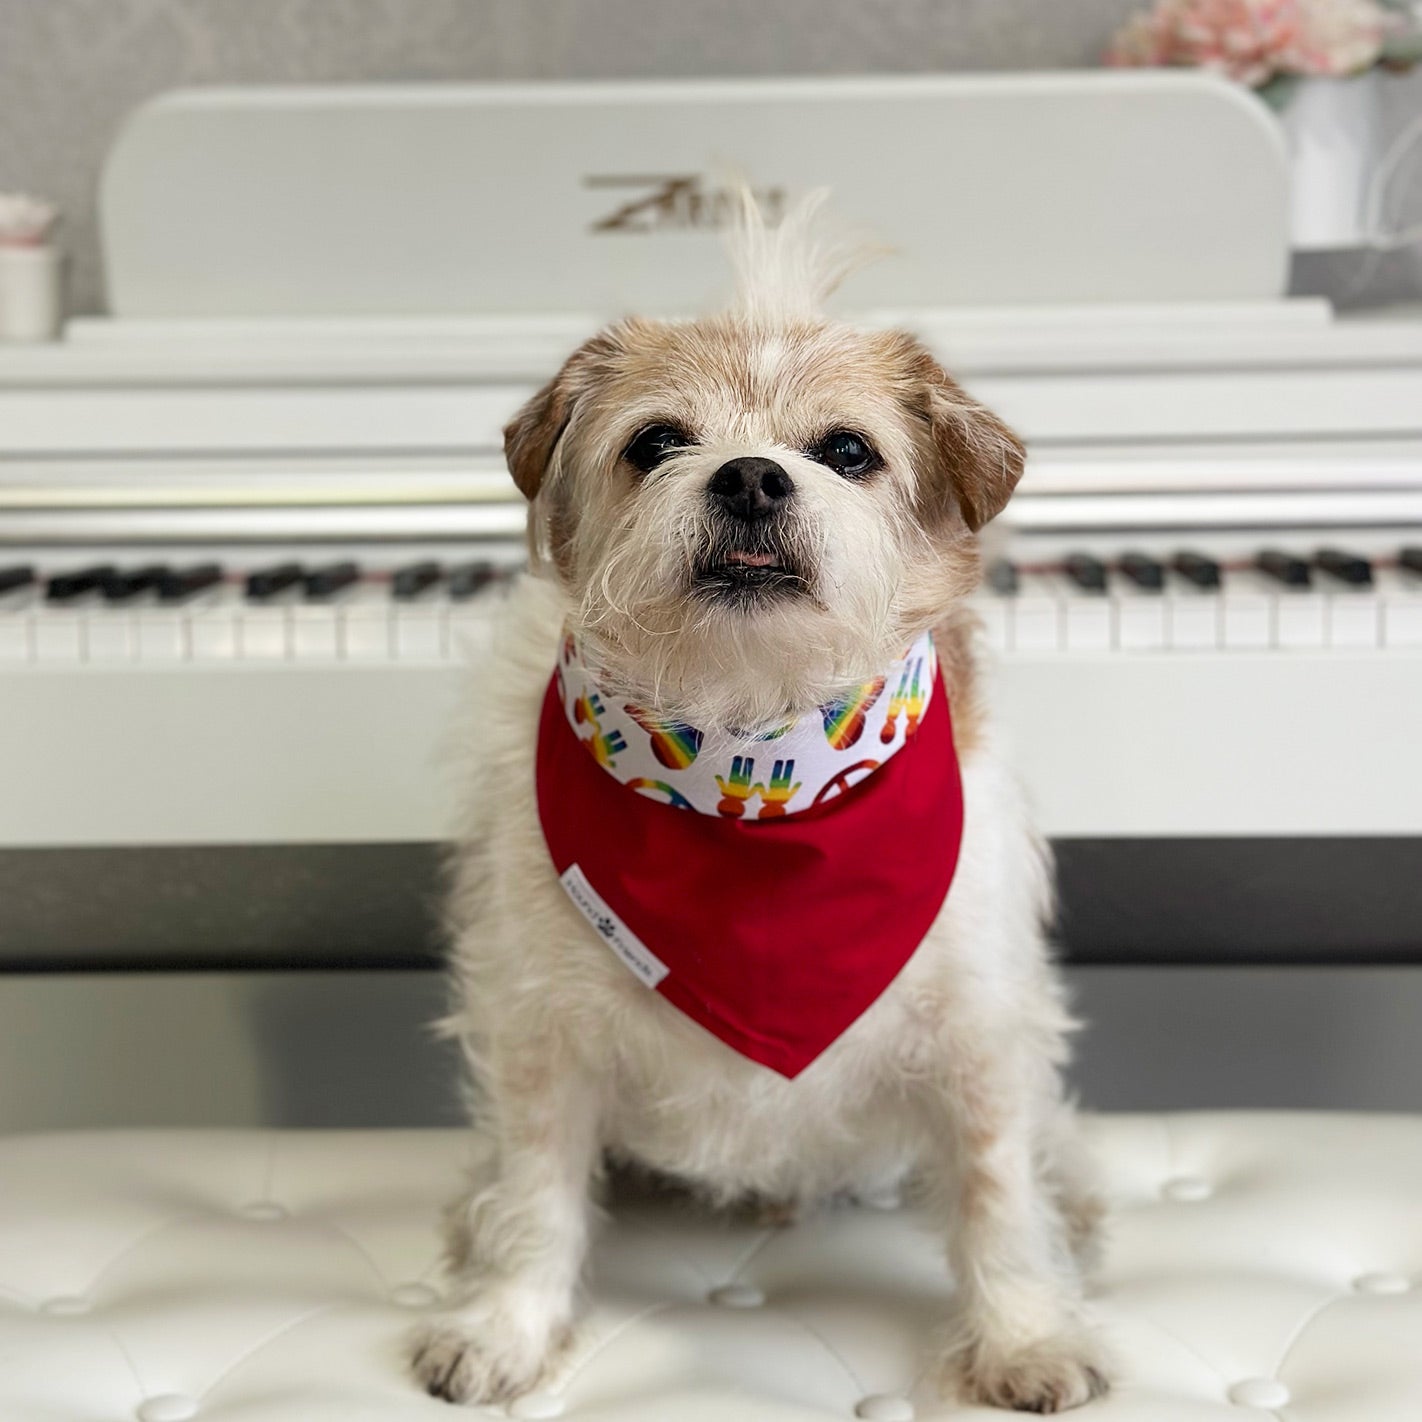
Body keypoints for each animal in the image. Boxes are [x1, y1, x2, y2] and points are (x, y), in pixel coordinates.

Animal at [412, 197, 1109, 1410]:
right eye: (655, 442)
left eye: (847, 452)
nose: (748, 477)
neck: (746, 760)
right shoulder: (540, 1030)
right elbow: (536, 1196)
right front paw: (504, 1324)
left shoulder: (978, 1034)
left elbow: (998, 1195)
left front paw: (1025, 1336)